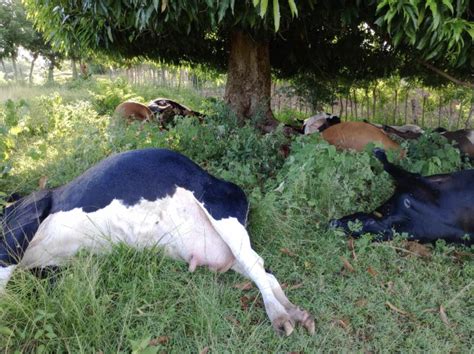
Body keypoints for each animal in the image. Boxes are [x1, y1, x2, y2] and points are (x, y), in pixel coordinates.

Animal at [0, 148, 314, 336]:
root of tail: (224, 182)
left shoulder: (25, 218)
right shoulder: (48, 268)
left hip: (221, 212)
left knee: (256, 266)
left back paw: (281, 315)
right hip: (222, 250)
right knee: (261, 269)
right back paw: (295, 311)